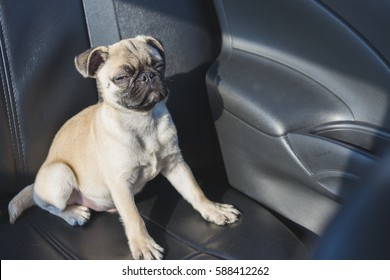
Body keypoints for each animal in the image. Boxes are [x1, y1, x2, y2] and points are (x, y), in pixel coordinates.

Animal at [7, 35, 241, 260]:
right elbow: (134, 218)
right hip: (60, 175)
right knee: (48, 206)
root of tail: (35, 184)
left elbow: (194, 191)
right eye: (121, 78)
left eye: (159, 65)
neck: (143, 120)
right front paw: (144, 245)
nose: (148, 76)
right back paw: (74, 213)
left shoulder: (176, 164)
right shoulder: (120, 183)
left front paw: (213, 209)